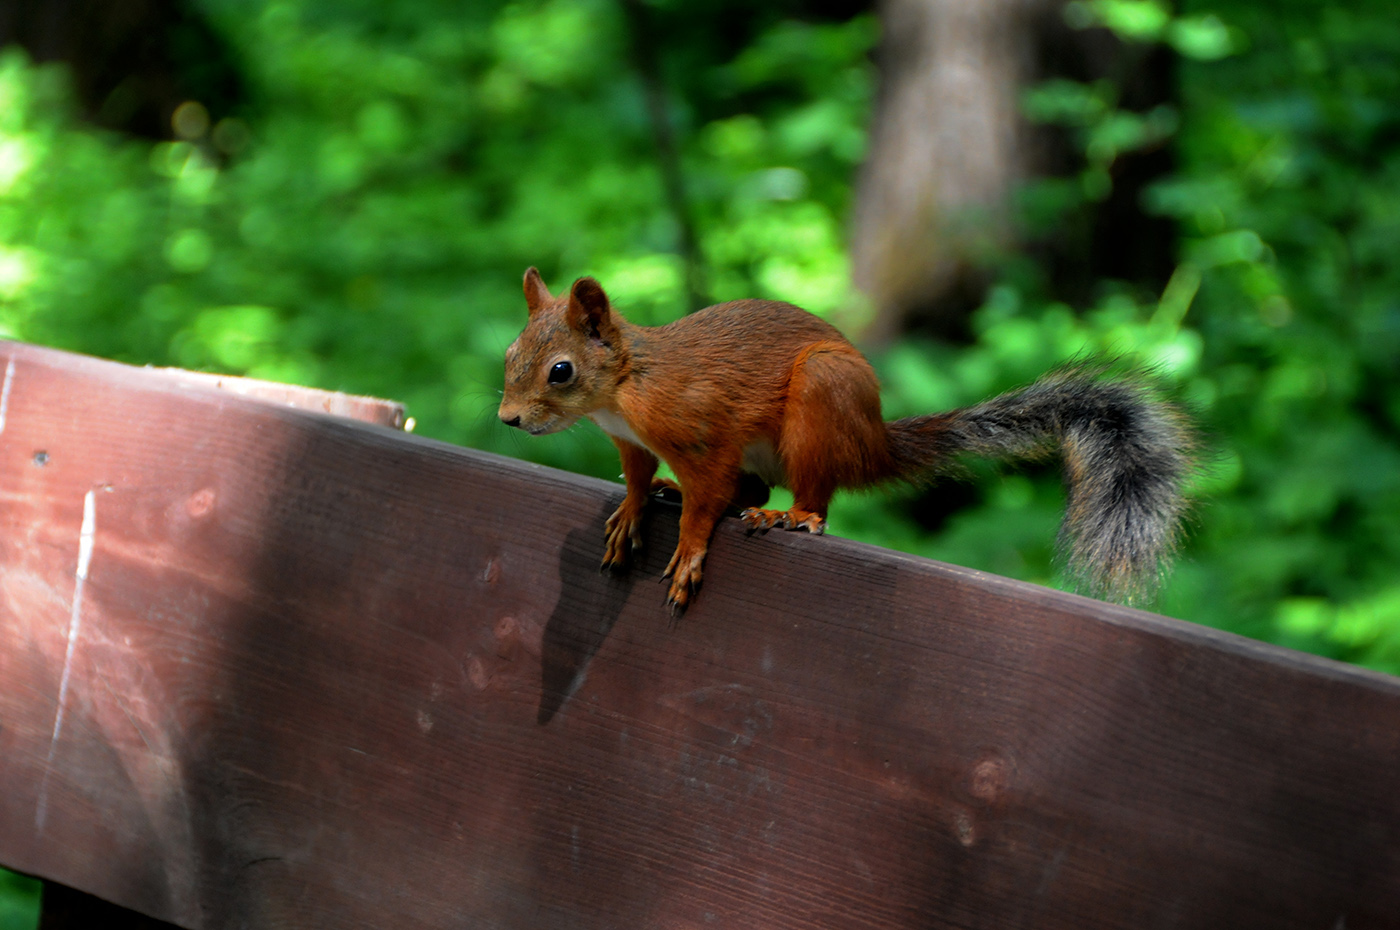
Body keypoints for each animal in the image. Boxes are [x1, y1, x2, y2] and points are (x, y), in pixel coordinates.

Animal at [498, 264, 1187, 613]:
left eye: (560, 371)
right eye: (510, 353)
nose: (508, 418)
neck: (624, 388)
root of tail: (872, 443)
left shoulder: (700, 431)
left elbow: (706, 497)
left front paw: (689, 551)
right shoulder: (632, 441)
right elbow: (638, 477)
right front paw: (635, 508)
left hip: (820, 400)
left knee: (810, 494)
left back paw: (792, 516)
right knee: (754, 486)